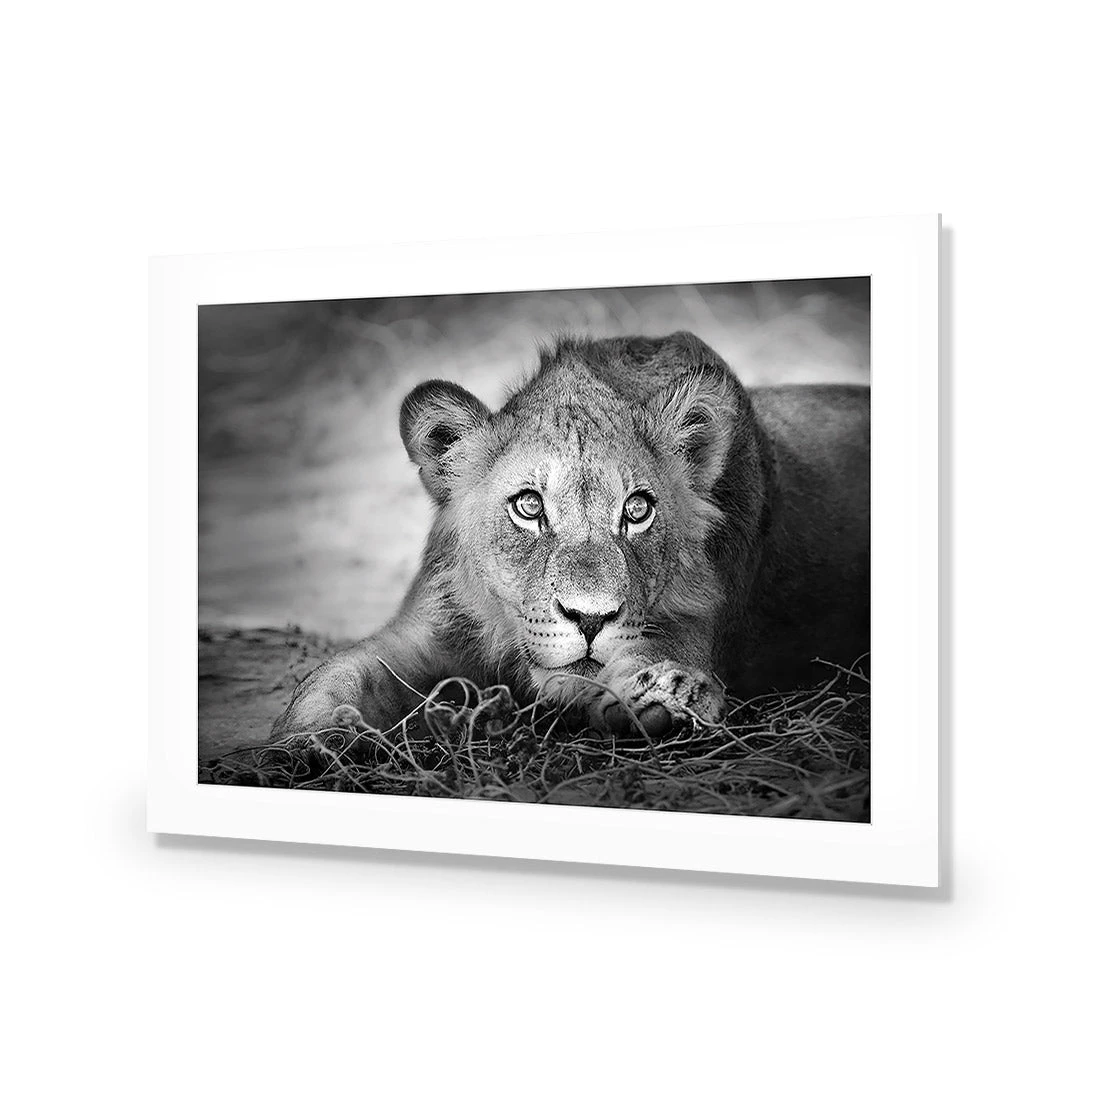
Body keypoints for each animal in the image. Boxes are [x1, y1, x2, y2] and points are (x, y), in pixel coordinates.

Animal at [272, 331, 869, 740]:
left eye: (637, 509)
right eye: (529, 506)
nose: (589, 619)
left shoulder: (701, 623)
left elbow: (661, 654)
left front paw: (667, 694)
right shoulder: (428, 629)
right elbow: (336, 675)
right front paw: (306, 742)